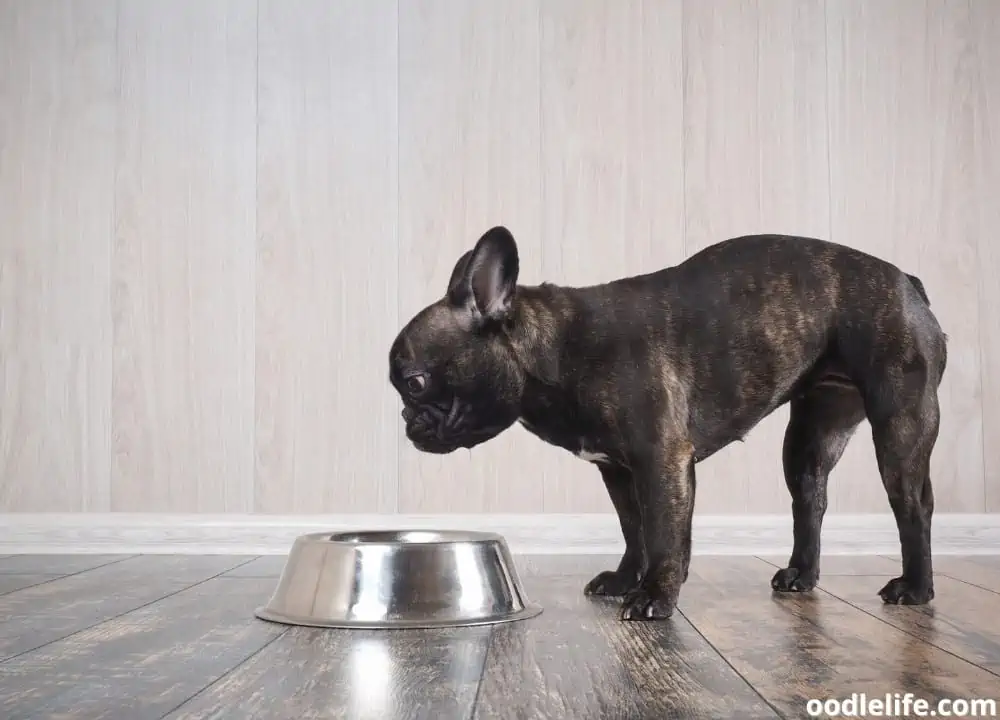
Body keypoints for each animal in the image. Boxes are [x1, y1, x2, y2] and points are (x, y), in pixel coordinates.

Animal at [386, 228, 948, 620]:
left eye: (414, 383)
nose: (407, 421)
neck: (558, 351)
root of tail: (910, 284)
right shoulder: (617, 470)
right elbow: (632, 527)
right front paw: (624, 579)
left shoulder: (660, 461)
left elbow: (662, 531)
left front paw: (655, 595)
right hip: (811, 435)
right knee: (811, 497)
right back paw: (801, 575)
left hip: (900, 424)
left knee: (914, 505)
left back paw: (916, 588)